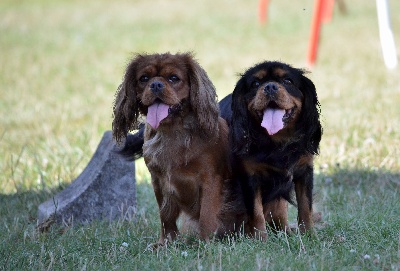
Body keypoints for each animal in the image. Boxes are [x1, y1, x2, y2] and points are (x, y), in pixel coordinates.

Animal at [112, 52, 231, 246]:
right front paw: (165, 243)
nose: (156, 84)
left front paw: (206, 244)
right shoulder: (158, 182)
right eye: (144, 78)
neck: (172, 130)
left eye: (174, 78)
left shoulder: (210, 180)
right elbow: (165, 216)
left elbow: (206, 216)